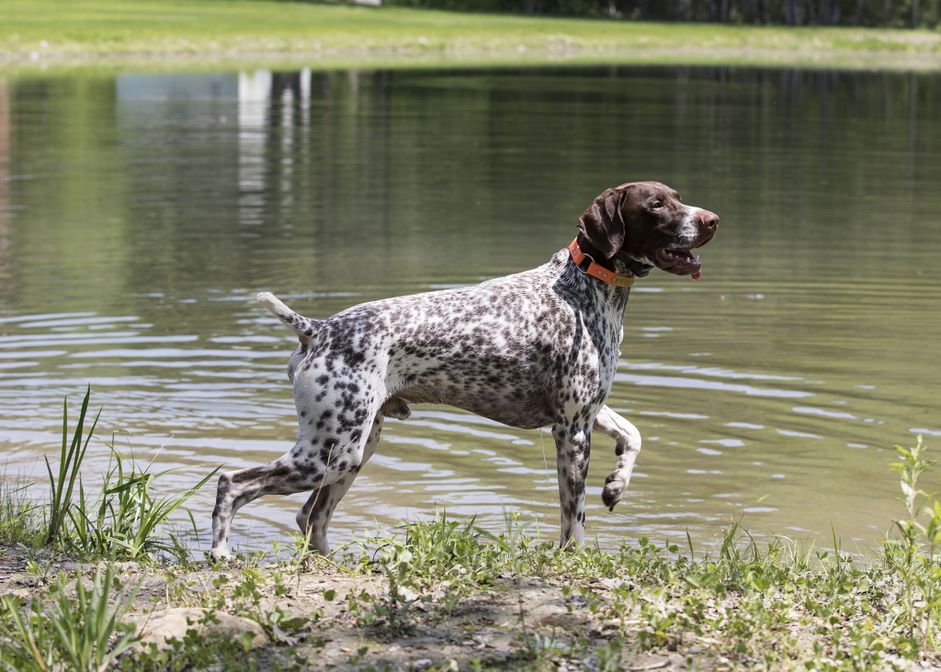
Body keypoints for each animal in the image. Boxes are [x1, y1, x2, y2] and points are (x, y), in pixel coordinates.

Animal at [209, 181, 716, 560]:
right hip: (329, 453)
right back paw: (220, 554)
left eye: (676, 196)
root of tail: (316, 329)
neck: (585, 284)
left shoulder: (587, 411)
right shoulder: (571, 429)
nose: (711, 220)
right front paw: (575, 559)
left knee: (310, 518)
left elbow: (634, 435)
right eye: (656, 205)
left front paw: (616, 486)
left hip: (354, 449)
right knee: (233, 484)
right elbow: (573, 519)